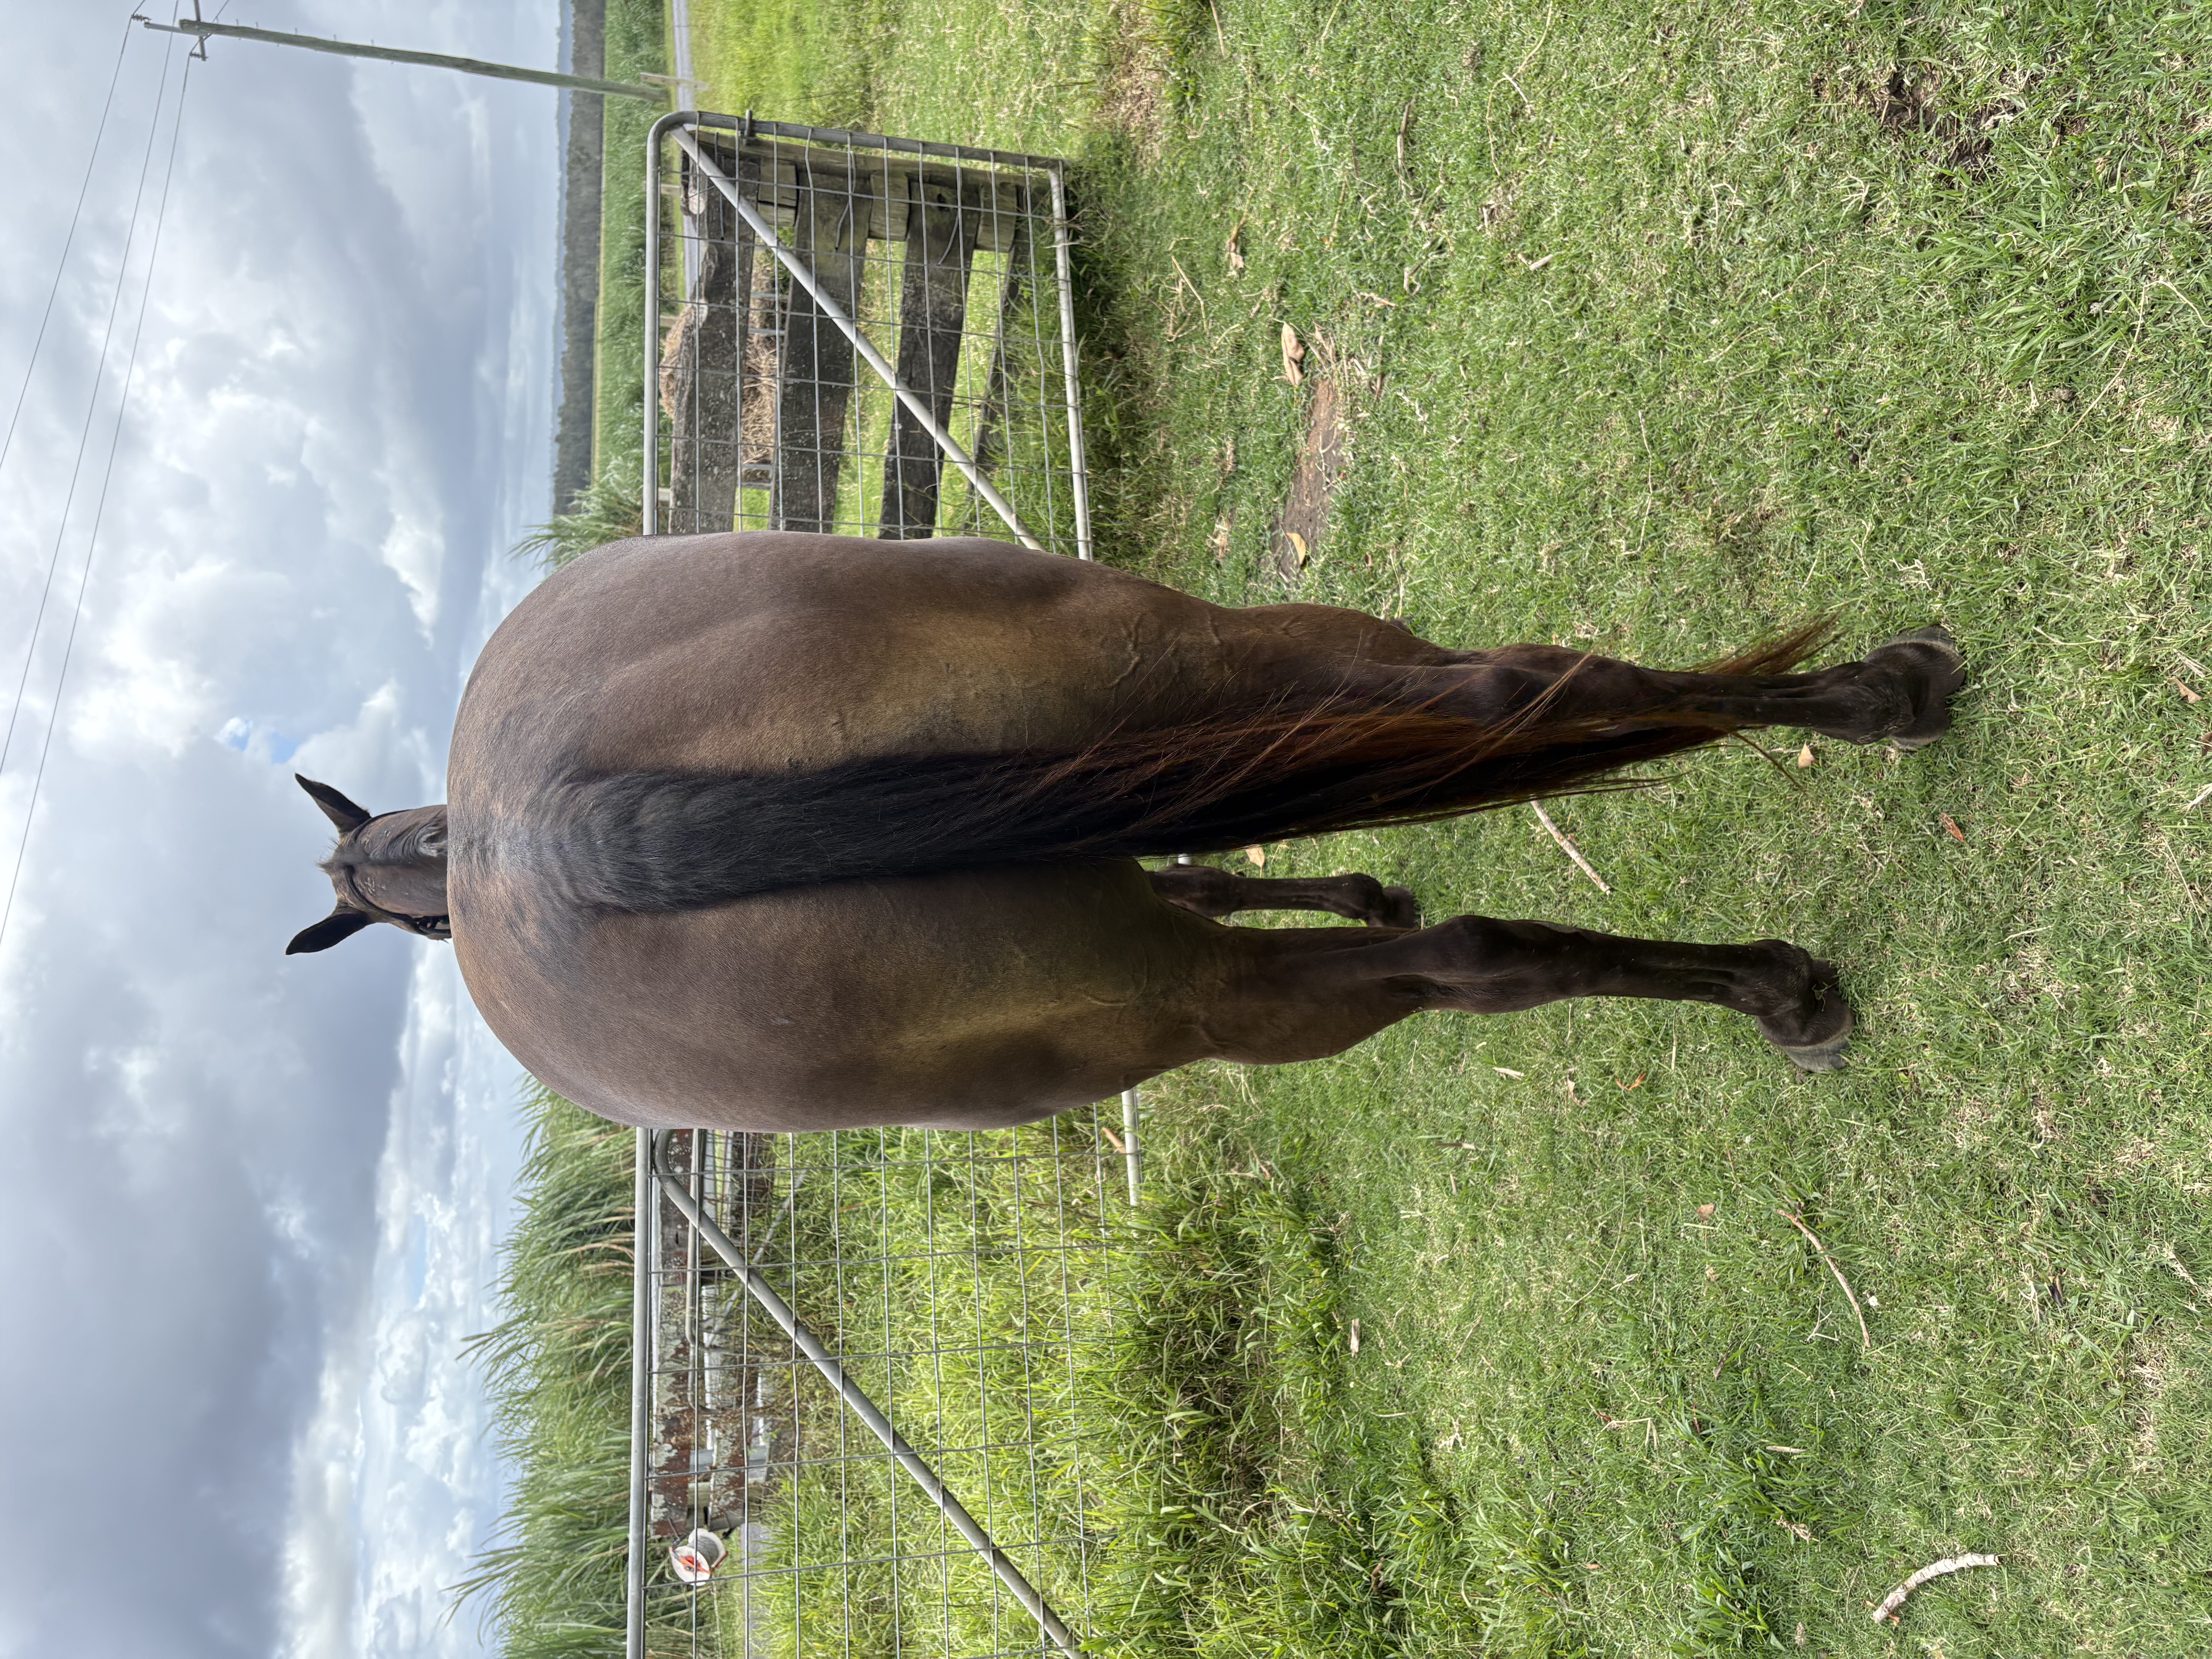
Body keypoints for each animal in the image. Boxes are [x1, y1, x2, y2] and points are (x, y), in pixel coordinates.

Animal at [285, 531, 1964, 1132]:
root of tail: (565, 837)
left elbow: (1217, 866)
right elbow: (1218, 868)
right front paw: (1367, 886)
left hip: (1183, 677)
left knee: (1516, 724)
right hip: (1194, 781)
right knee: (1505, 787)